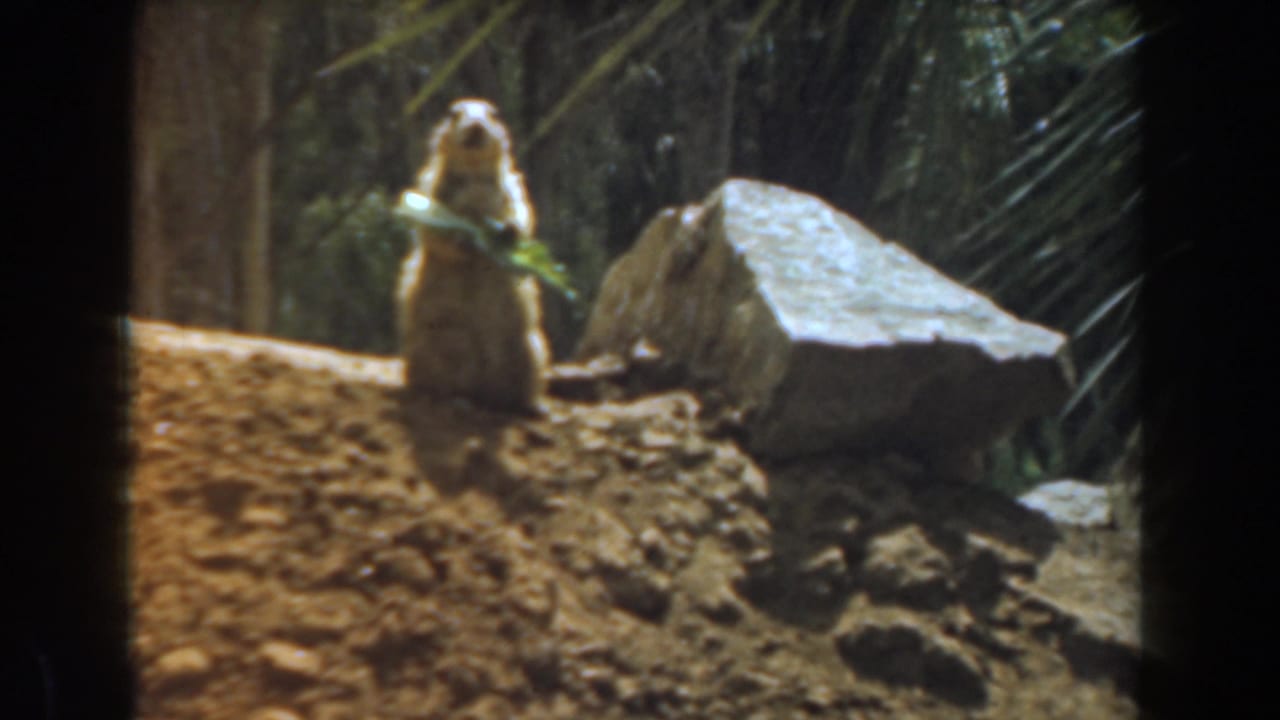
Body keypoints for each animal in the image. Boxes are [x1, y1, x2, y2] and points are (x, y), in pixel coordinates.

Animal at [396, 98, 549, 414]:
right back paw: (449, 397)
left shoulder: (512, 184)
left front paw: (509, 231)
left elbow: (523, 211)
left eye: (493, 114)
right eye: (454, 113)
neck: (474, 171)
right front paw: (463, 239)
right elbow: (432, 228)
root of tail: (485, 393)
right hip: (435, 346)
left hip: (532, 348)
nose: (477, 125)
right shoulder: (432, 187)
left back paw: (533, 407)